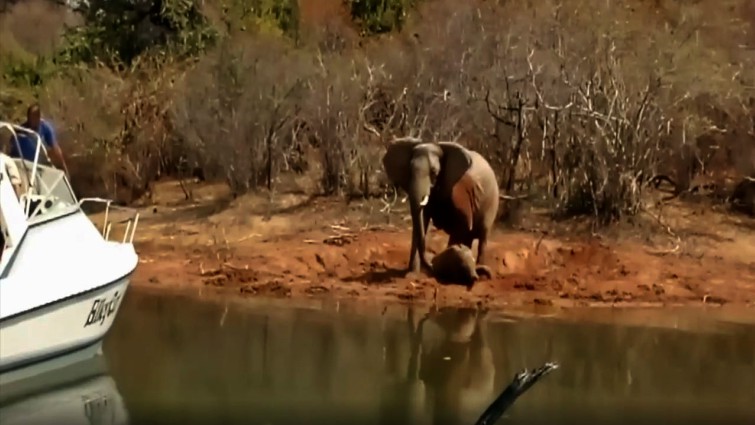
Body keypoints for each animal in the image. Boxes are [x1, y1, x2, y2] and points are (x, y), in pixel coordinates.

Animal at [382, 138, 500, 275]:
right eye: (409, 171)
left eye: (434, 172)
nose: (431, 265)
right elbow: (422, 219)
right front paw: (412, 274)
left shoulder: (460, 189)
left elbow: (460, 226)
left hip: (492, 202)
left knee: (482, 237)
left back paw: (480, 265)